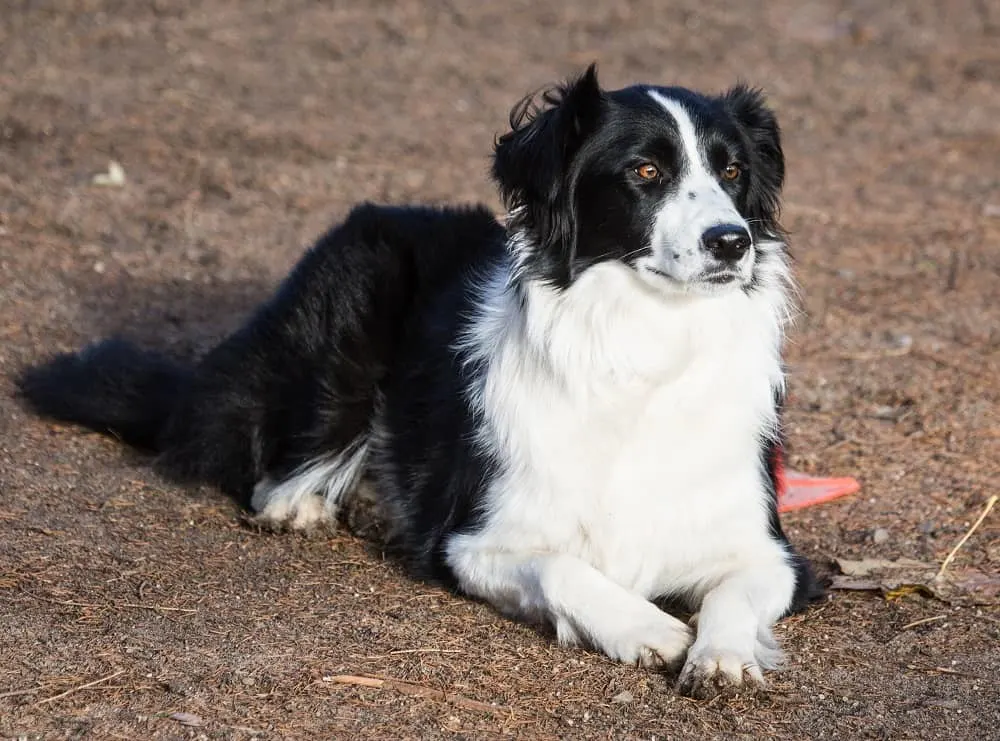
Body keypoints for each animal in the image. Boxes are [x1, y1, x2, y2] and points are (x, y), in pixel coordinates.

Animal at [17, 66, 820, 696]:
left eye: (732, 173)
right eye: (646, 172)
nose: (732, 242)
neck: (647, 343)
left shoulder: (770, 551)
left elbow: (735, 595)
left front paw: (721, 655)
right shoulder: (472, 540)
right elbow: (564, 568)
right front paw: (647, 626)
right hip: (354, 294)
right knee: (264, 458)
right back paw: (307, 501)